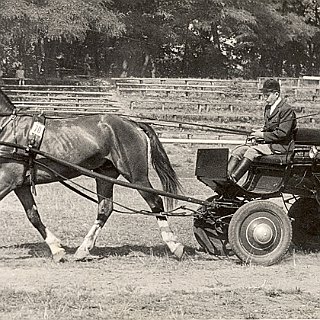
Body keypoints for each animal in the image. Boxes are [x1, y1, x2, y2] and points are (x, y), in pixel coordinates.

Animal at [0, 87, 184, 260]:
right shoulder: (19, 184)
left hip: (136, 176)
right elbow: (33, 216)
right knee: (105, 208)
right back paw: (83, 249)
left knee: (155, 201)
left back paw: (174, 245)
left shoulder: (7, 180)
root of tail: (132, 122)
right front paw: (56, 249)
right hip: (106, 175)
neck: (8, 129)